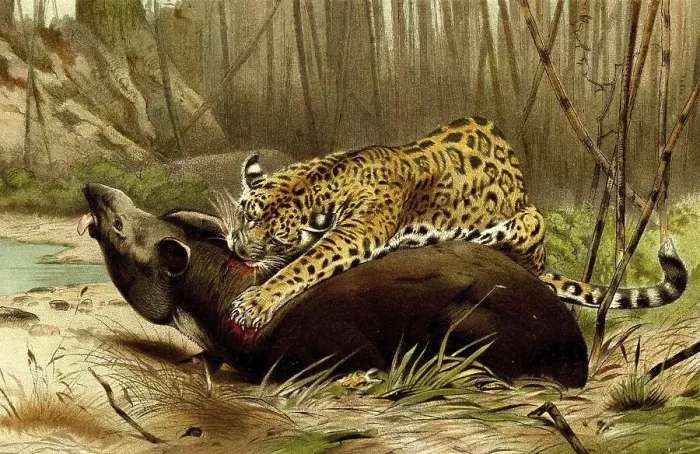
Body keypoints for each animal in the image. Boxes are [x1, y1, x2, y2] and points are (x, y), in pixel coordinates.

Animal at [223, 117, 687, 335]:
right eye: (245, 214)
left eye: (274, 237)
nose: (238, 250)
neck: (326, 175)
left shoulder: (355, 234)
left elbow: (305, 264)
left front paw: (255, 303)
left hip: (530, 221)